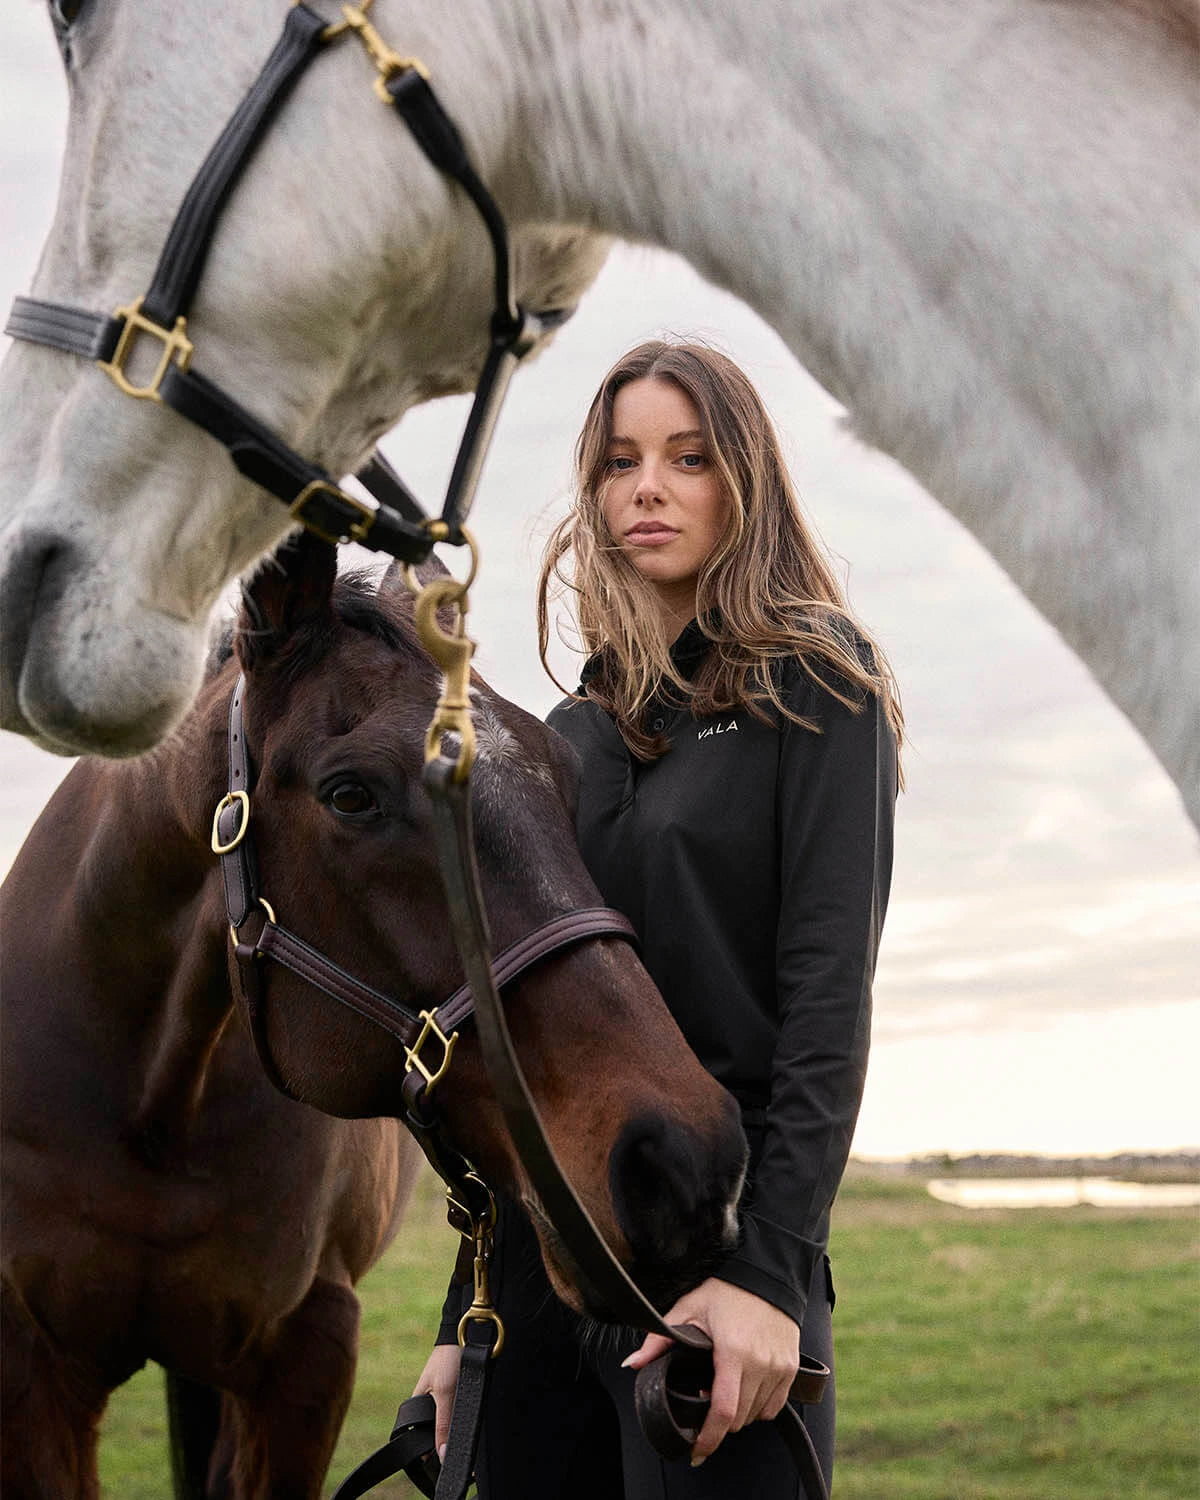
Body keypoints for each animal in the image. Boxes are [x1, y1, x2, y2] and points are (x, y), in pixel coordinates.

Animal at [2, 537, 750, 1500]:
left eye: (565, 777)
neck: (149, 1107)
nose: (686, 1166)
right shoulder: (32, 1369)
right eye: (351, 794)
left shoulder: (307, 1359)